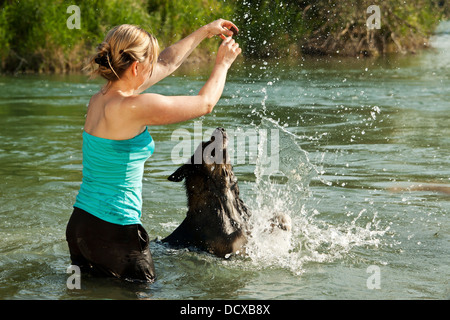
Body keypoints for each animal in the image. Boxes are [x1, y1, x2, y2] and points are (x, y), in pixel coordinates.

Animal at [163, 127, 292, 258]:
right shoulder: (228, 247)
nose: (220, 128)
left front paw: (284, 223)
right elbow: (241, 236)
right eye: (205, 144)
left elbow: (276, 216)